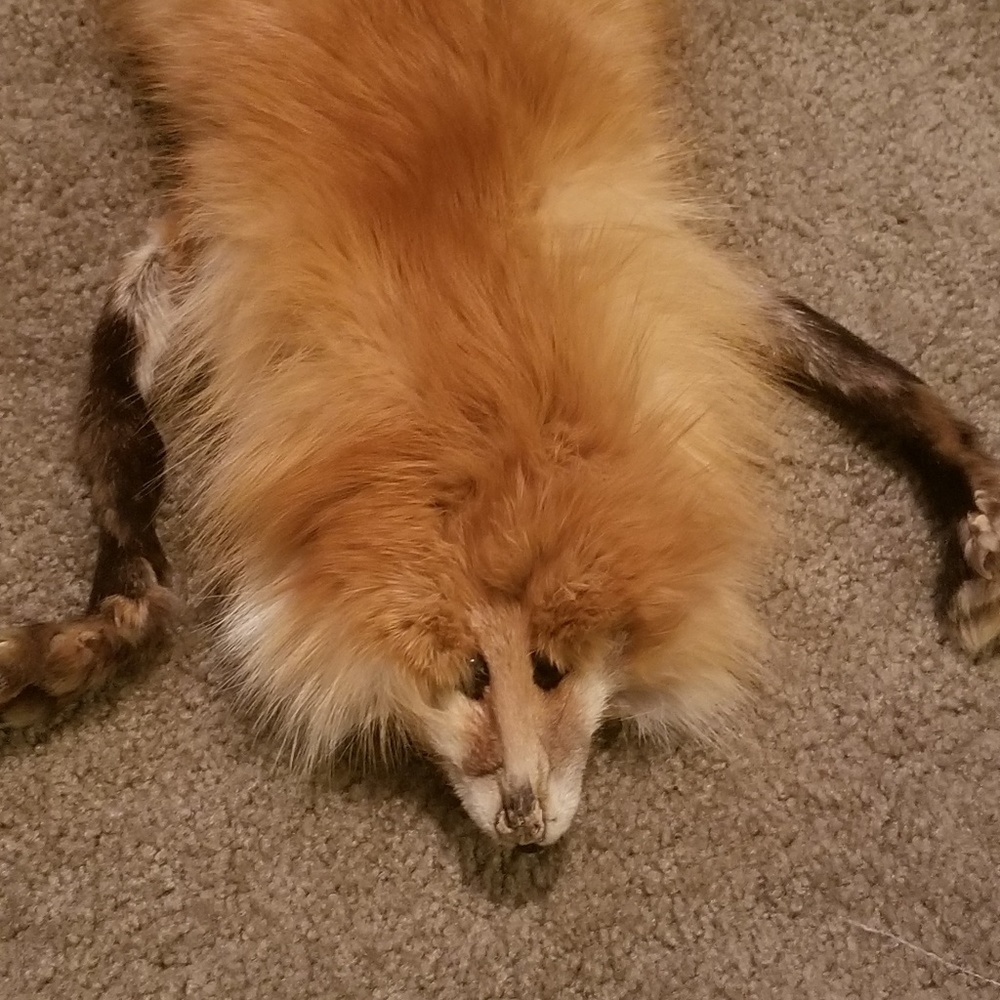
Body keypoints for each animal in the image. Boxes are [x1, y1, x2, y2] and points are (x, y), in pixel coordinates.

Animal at [2, 0, 999, 849]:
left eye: (553, 666)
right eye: (467, 673)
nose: (524, 822)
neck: (459, 266)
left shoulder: (665, 273)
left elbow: (868, 371)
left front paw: (978, 520)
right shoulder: (206, 245)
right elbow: (122, 446)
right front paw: (91, 633)